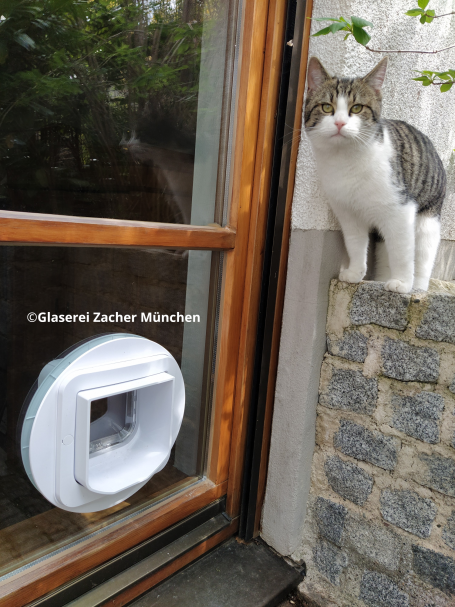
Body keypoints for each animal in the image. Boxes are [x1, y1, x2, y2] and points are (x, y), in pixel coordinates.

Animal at [304, 57, 448, 294]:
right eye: (326, 107)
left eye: (356, 107)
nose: (340, 123)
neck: (346, 161)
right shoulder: (347, 212)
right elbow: (355, 243)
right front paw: (355, 273)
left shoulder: (400, 211)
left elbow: (401, 251)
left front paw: (402, 283)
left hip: (428, 219)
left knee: (422, 256)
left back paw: (416, 287)